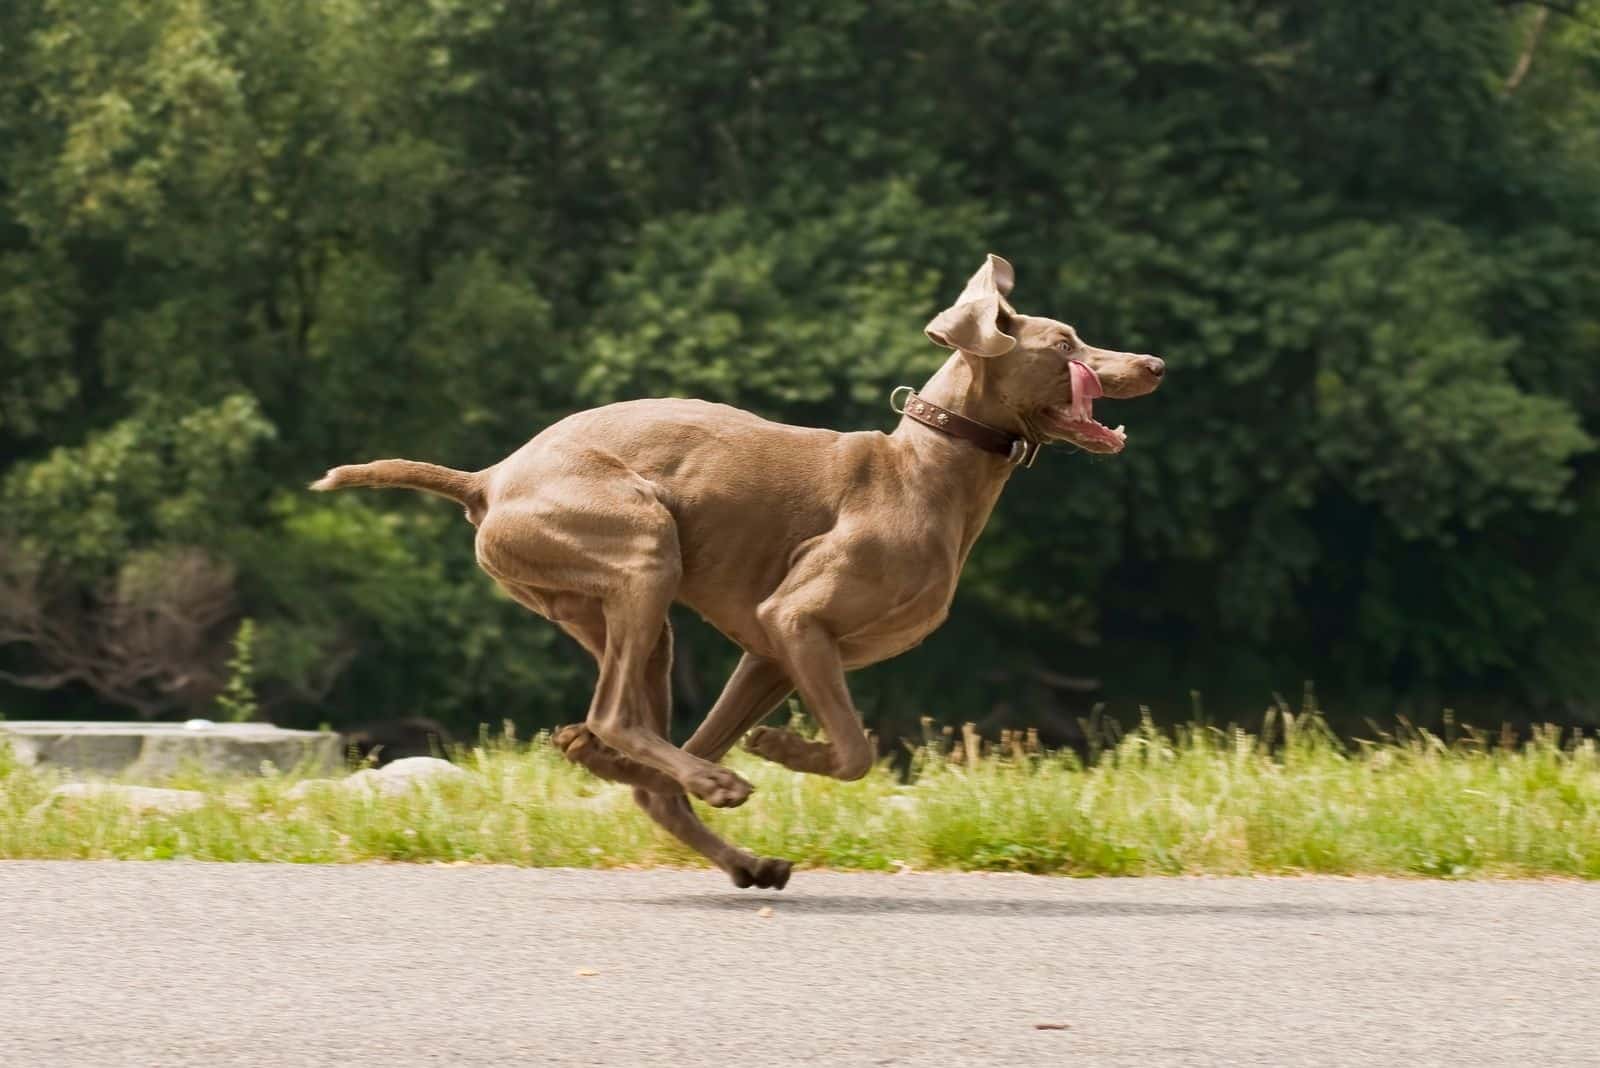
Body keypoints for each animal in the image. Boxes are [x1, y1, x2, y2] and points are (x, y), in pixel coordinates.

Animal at [312, 254, 1164, 888]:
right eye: (1065, 345)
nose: (1154, 362)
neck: (925, 470)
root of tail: (489, 478)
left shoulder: (771, 652)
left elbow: (752, 744)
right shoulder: (794, 620)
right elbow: (854, 751)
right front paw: (781, 750)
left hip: (625, 612)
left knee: (644, 766)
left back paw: (726, 843)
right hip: (644, 546)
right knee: (616, 718)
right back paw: (687, 777)